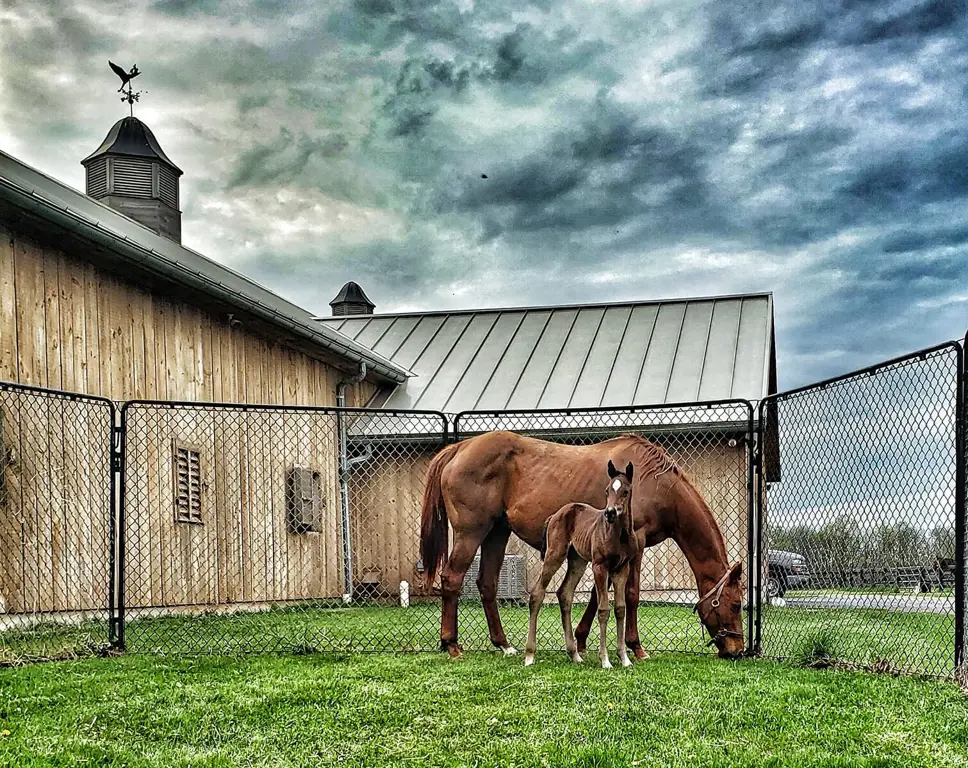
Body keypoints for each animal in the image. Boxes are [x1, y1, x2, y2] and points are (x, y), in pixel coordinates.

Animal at [524, 460, 640, 668]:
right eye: (607, 490)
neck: (620, 535)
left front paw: (625, 659)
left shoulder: (622, 568)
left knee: (565, 594)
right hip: (555, 555)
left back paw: (575, 654)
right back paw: (529, 656)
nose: (610, 513)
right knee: (537, 593)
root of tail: (554, 515)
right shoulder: (599, 567)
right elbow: (603, 609)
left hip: (577, 561)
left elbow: (620, 609)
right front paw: (605, 660)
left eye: (625, 491)